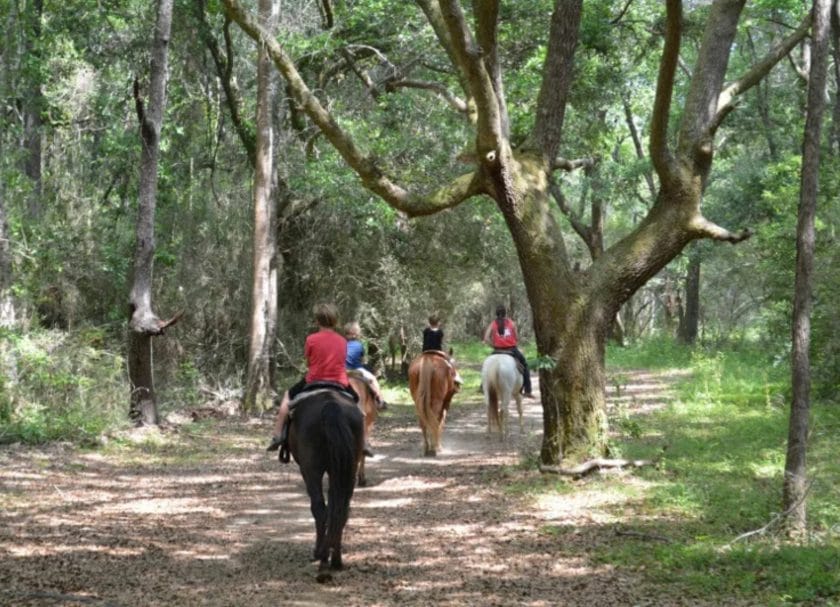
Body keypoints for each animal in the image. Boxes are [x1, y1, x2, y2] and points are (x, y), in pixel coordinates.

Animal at [288, 388, 362, 576]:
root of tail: (331, 404)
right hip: (347, 470)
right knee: (341, 510)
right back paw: (335, 560)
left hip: (311, 470)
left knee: (319, 509)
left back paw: (321, 557)